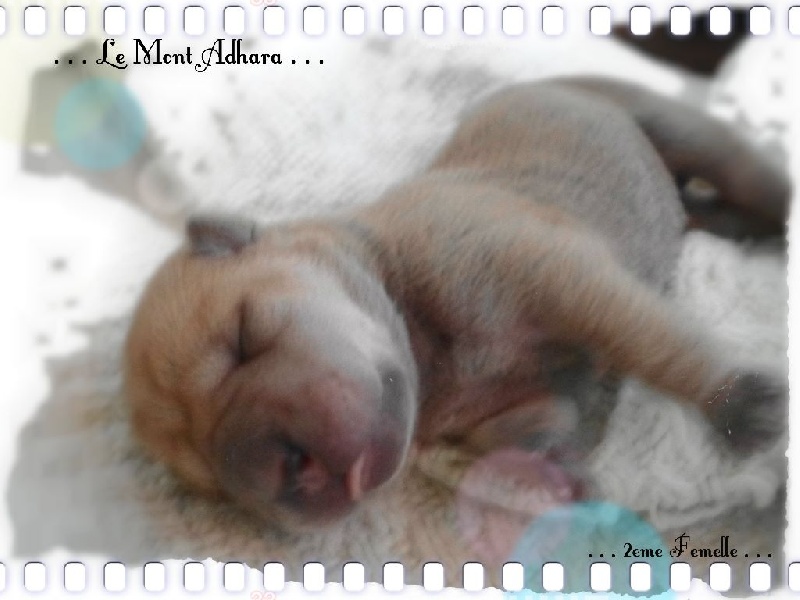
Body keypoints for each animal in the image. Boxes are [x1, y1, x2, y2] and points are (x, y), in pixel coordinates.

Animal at [124, 77, 791, 531]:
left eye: (244, 339)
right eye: (216, 485)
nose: (288, 470)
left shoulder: (557, 270)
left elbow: (651, 339)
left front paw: (734, 401)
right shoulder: (512, 407)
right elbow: (525, 434)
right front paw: (561, 469)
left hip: (673, 128)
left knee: (739, 170)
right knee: (705, 209)